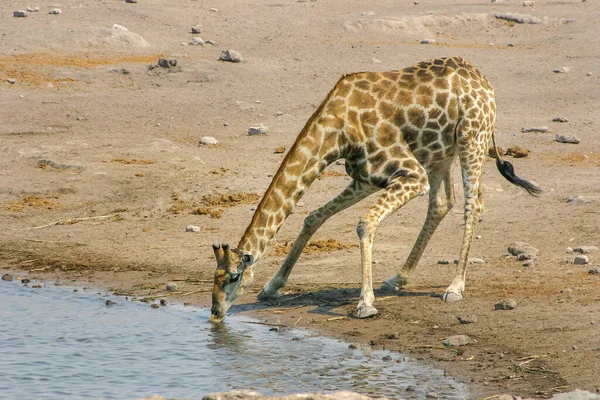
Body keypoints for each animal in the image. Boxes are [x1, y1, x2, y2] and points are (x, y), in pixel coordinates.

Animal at [209, 55, 540, 322]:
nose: (215, 312)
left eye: (234, 277)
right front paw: (272, 286)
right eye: (215, 276)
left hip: (472, 138)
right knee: (442, 202)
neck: (337, 129)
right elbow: (314, 216)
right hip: (440, 153)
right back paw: (398, 279)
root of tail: (484, 82)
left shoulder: (410, 175)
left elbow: (365, 223)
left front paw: (365, 304)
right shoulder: (366, 177)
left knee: (474, 204)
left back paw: (455, 287)